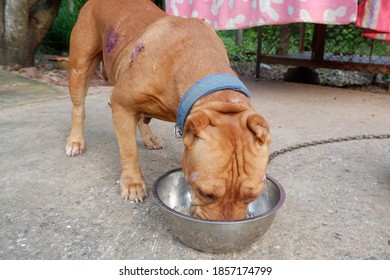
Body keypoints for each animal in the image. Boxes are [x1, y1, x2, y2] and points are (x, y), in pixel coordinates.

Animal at [64, 0, 272, 220]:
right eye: (204, 193)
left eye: (252, 195)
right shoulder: (121, 103)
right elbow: (129, 151)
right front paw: (133, 183)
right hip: (80, 67)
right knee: (79, 107)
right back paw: (75, 141)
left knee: (141, 117)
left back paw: (149, 138)